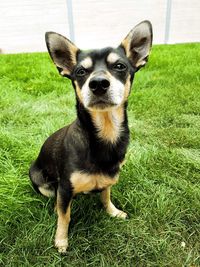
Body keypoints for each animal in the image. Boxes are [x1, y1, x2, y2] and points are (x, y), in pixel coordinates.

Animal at [28, 20, 152, 253]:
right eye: (80, 71)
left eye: (120, 66)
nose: (99, 83)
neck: (104, 134)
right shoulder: (65, 188)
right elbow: (64, 216)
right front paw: (61, 240)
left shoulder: (109, 179)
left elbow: (106, 196)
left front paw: (113, 212)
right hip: (41, 180)